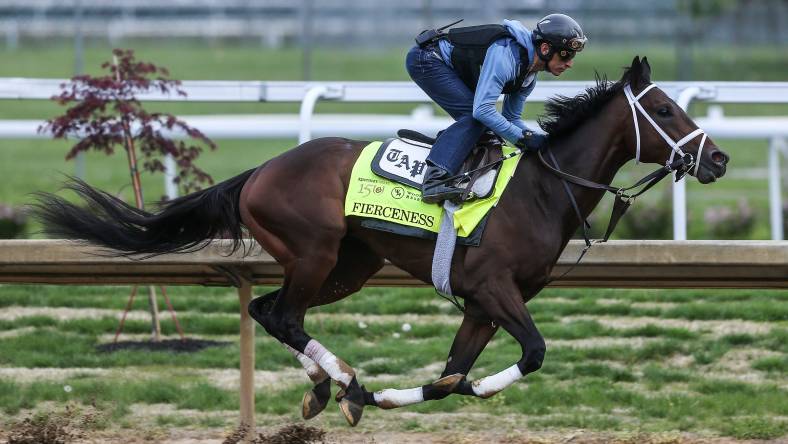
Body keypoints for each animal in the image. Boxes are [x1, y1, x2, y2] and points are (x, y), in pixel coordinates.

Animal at [33, 56, 728, 426]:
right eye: (663, 110)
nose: (718, 159)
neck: (542, 187)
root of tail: (259, 171)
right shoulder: (495, 289)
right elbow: (530, 354)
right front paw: (383, 391)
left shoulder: (482, 304)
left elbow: (450, 377)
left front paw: (393, 394)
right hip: (315, 254)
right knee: (282, 314)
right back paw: (342, 380)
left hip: (350, 266)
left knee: (265, 309)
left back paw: (329, 387)